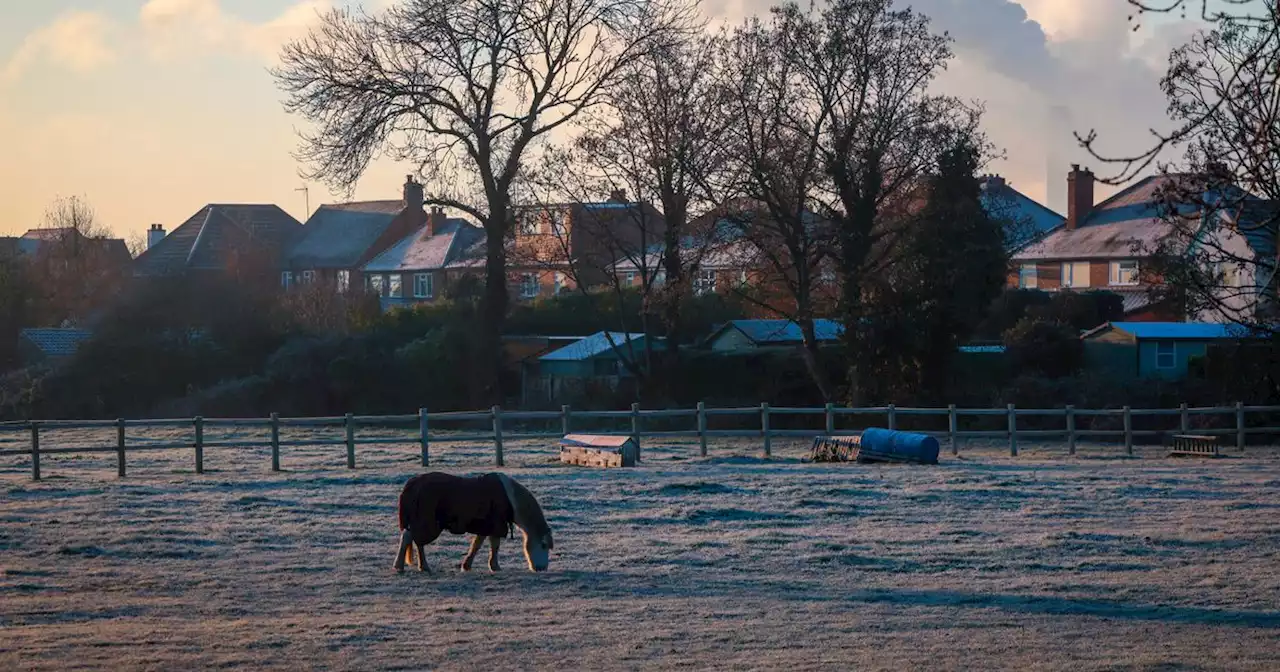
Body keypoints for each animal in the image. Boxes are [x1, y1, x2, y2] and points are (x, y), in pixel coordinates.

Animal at [389, 471, 550, 570]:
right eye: (543, 545)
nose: (541, 569)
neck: (511, 499)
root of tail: (412, 484)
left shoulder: (487, 525)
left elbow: (478, 544)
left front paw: (467, 565)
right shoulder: (496, 525)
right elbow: (494, 545)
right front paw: (495, 566)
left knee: (411, 538)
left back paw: (406, 566)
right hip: (427, 523)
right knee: (414, 539)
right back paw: (417, 566)